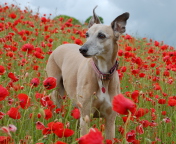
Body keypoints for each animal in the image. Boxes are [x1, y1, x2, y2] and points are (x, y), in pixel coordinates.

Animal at [46, 6, 129, 140]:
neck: (102, 75)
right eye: (87, 34)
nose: (82, 49)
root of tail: (60, 46)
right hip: (57, 89)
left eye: (101, 35)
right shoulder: (86, 116)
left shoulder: (110, 120)